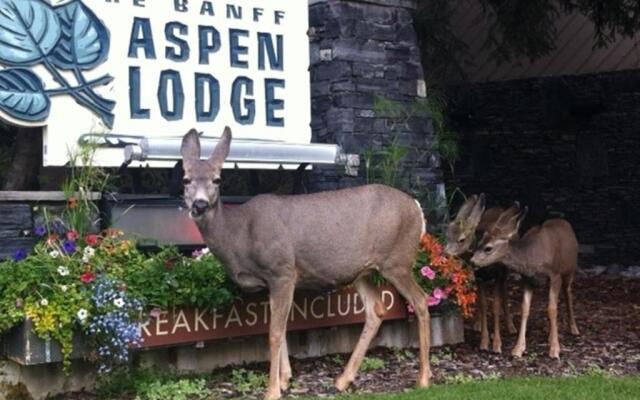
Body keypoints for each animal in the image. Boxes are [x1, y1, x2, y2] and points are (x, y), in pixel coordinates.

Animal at [180, 126, 430, 398]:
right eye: (186, 179)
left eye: (217, 179)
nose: (200, 205)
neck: (239, 235)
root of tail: (418, 208)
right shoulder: (273, 281)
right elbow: (281, 328)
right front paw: (285, 379)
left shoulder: (282, 270)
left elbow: (274, 332)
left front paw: (272, 390)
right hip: (361, 271)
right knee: (376, 309)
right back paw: (342, 380)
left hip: (397, 260)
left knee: (421, 301)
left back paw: (423, 379)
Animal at [444, 195, 520, 354]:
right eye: (447, 235)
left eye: (461, 239)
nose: (446, 253)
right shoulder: (479, 277)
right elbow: (484, 304)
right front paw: (484, 342)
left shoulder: (499, 274)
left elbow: (495, 305)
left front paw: (497, 344)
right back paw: (477, 325)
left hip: (505, 273)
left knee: (505, 292)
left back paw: (511, 326)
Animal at [470, 205, 580, 358]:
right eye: (478, 243)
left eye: (488, 248)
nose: (472, 261)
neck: (533, 258)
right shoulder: (527, 279)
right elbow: (525, 309)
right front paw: (518, 348)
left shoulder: (555, 275)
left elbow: (552, 309)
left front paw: (554, 349)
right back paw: (550, 335)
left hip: (570, 269)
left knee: (568, 293)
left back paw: (573, 328)